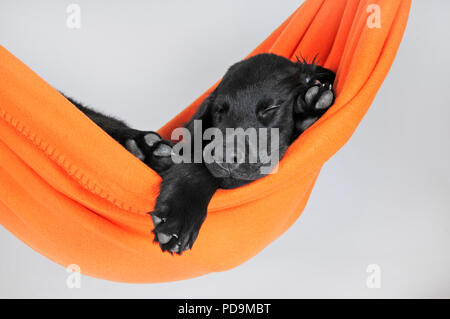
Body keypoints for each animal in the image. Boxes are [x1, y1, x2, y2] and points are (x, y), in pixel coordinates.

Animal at [66, 53, 334, 256]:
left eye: (271, 108)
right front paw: (180, 212)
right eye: (219, 111)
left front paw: (309, 109)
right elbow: (195, 163)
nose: (226, 158)